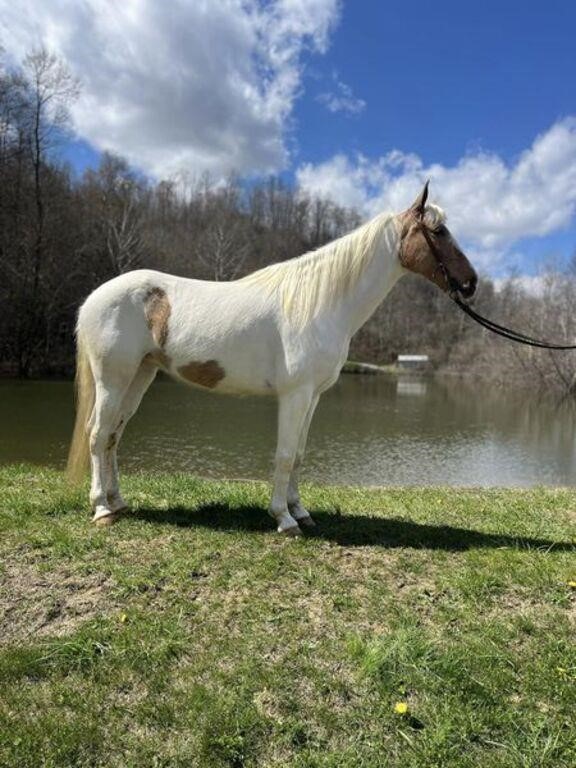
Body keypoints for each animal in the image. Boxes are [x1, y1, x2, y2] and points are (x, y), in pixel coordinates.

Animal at [66, 183, 476, 536]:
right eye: (439, 232)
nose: (471, 282)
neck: (321, 303)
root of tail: (94, 298)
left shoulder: (313, 396)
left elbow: (299, 455)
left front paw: (301, 511)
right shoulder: (294, 395)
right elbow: (283, 455)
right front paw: (283, 519)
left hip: (139, 376)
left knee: (113, 436)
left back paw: (118, 503)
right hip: (112, 379)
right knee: (97, 433)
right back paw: (101, 509)